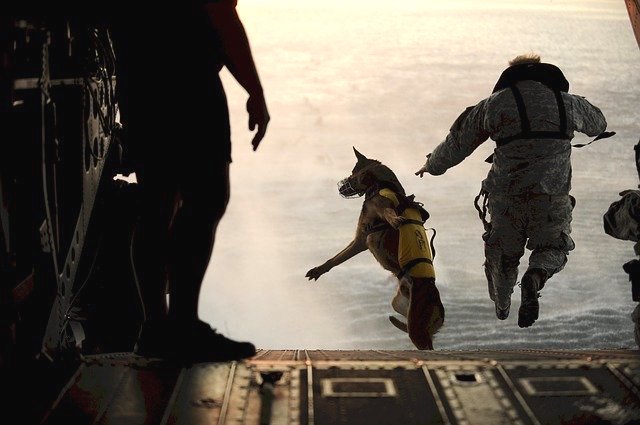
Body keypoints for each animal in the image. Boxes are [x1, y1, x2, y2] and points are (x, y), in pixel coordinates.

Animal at [305, 148, 445, 350]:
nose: (340, 188)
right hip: (400, 307)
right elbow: (336, 258)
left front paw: (395, 219)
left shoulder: (380, 210)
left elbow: (389, 211)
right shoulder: (360, 240)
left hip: (417, 328)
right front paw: (319, 270)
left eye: (352, 176)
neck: (381, 185)